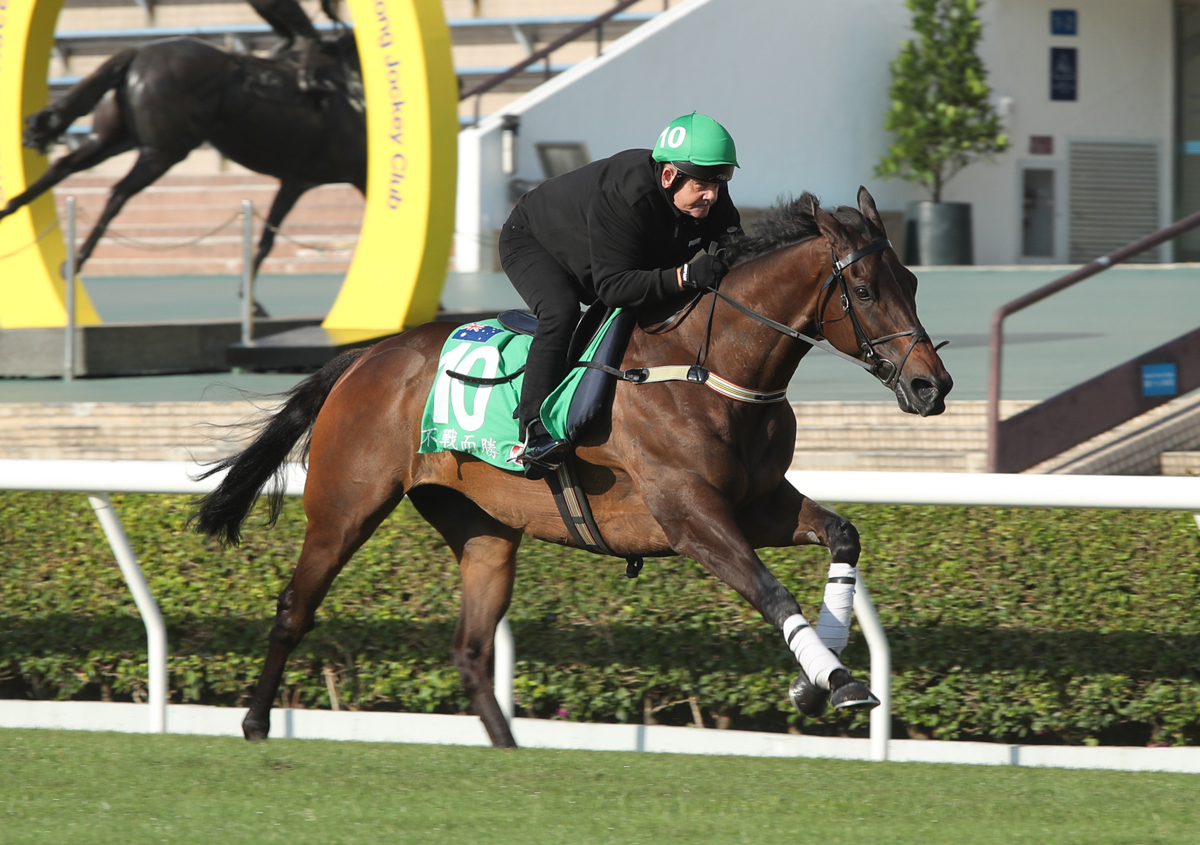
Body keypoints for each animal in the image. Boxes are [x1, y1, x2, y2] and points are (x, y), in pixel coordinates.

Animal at [0, 30, 364, 286]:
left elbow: (266, 240)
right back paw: (75, 260)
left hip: (112, 140)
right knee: (118, 192)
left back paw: (12, 210)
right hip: (163, 152)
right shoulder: (353, 175)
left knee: (63, 167)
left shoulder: (295, 181)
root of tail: (138, 52)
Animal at [192, 186, 950, 744]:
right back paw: (255, 723)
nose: (930, 385)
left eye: (913, 280)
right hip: (345, 508)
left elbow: (842, 534)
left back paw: (508, 748)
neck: (708, 368)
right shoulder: (690, 516)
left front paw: (815, 679)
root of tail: (366, 355)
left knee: (470, 647)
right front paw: (835, 682)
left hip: (483, 531)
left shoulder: (758, 502)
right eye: (868, 291)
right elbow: (772, 592)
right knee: (294, 607)